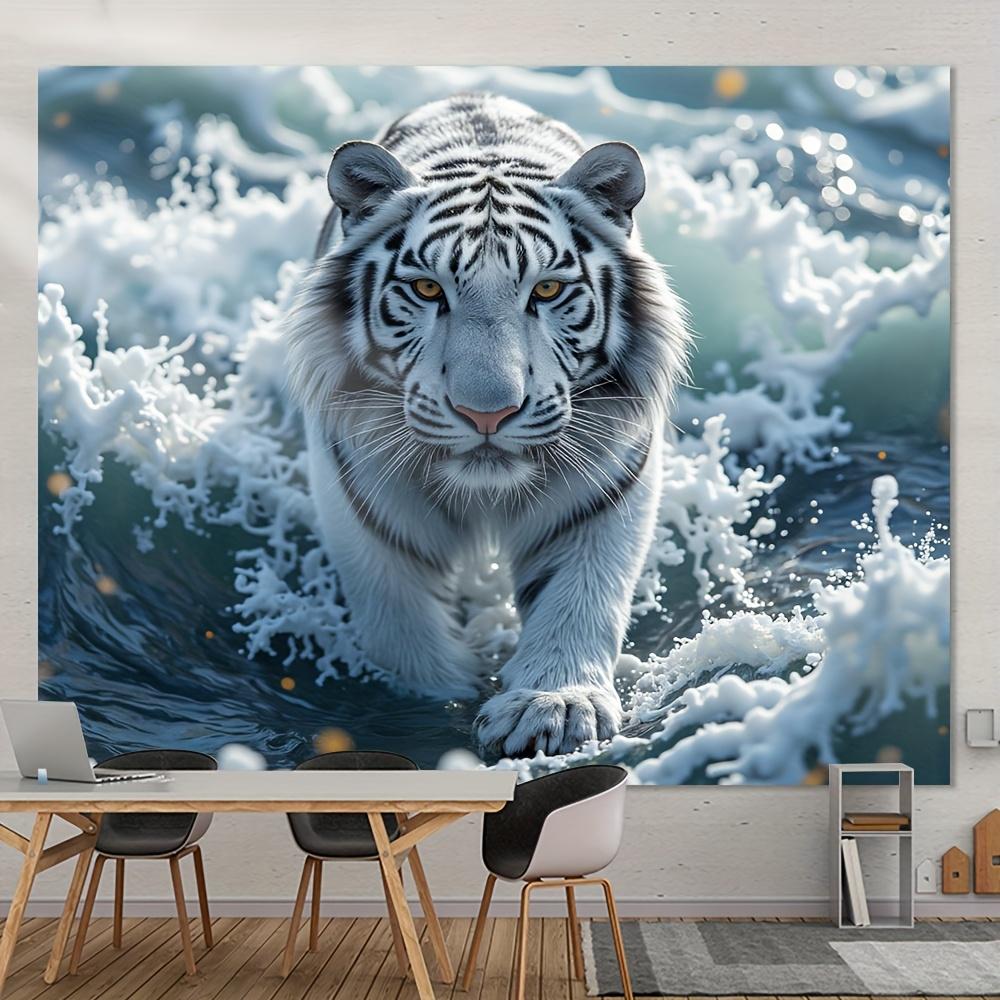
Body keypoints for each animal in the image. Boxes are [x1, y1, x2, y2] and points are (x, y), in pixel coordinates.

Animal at [284, 93, 690, 757]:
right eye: (427, 288)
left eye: (546, 290)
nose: (487, 413)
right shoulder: (359, 488)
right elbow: (398, 621)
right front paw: (431, 707)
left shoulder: (607, 483)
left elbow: (580, 596)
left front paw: (555, 708)